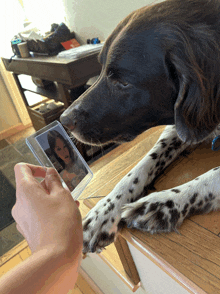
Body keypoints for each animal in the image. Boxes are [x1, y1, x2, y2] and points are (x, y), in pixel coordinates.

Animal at [61, 0, 220, 253]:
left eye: (123, 82)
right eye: (101, 68)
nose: (64, 120)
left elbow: (212, 176)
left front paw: (165, 202)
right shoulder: (180, 126)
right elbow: (140, 168)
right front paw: (104, 210)